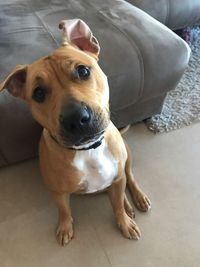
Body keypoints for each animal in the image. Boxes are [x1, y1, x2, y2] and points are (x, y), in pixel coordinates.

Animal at [0, 19, 150, 247]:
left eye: (83, 71)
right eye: (38, 93)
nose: (75, 118)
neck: (88, 150)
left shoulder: (118, 175)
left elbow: (116, 205)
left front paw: (123, 221)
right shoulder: (58, 191)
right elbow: (64, 210)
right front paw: (65, 227)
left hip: (127, 157)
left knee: (129, 177)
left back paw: (137, 199)